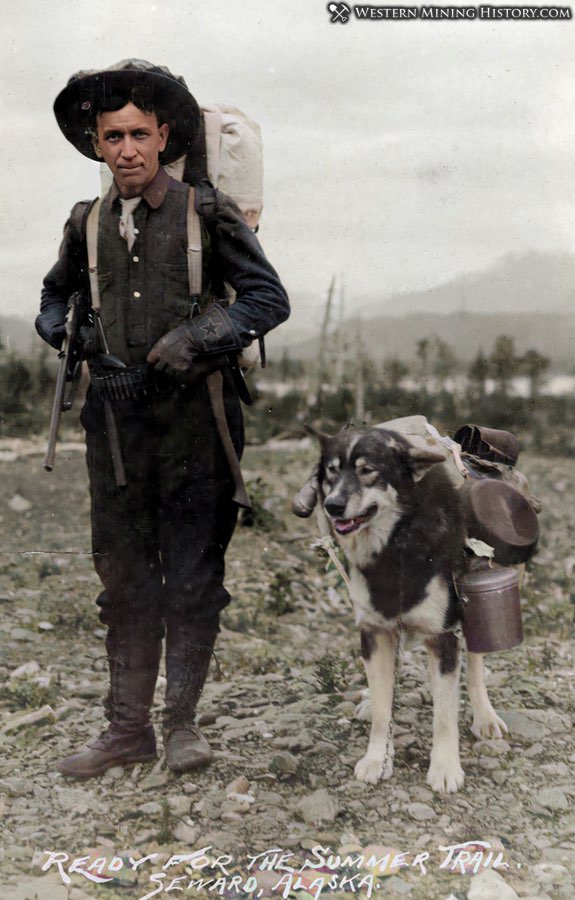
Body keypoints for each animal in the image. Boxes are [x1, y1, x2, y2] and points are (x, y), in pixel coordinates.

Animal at [310, 428, 508, 796]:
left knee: (475, 664)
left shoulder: (443, 636)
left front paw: (445, 768)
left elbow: (444, 715)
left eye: (367, 471)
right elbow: (381, 711)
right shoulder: (374, 633)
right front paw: (376, 759)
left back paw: (485, 716)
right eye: (331, 471)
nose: (333, 506)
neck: (396, 542)